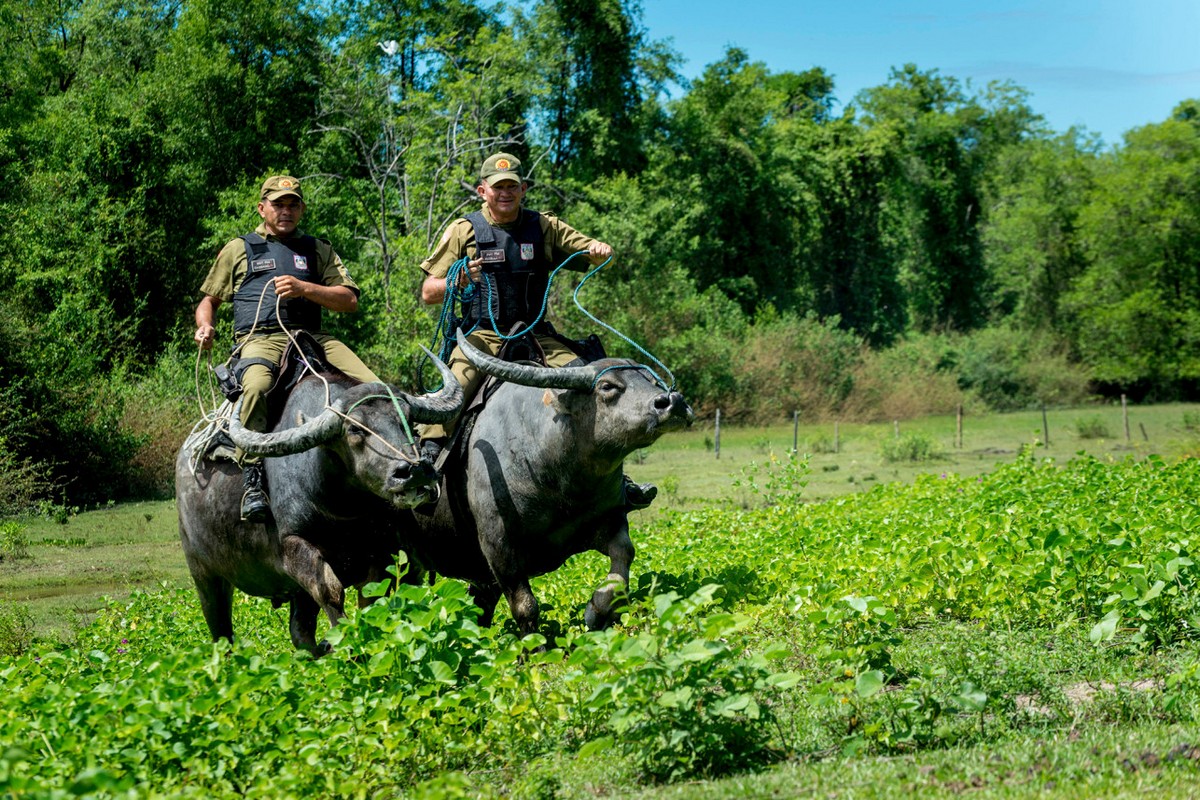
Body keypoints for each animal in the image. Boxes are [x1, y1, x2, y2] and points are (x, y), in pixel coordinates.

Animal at [175, 357, 460, 657]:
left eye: (408, 419)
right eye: (355, 429)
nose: (414, 471)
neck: (342, 512)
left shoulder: (382, 550)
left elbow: (372, 595)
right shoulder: (292, 545)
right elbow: (330, 590)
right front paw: (346, 641)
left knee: (300, 630)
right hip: (204, 574)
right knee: (221, 629)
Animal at [403, 331, 696, 638]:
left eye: (652, 381)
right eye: (607, 386)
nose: (672, 402)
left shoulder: (609, 520)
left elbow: (624, 557)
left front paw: (597, 611)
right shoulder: (499, 545)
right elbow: (525, 605)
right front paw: (537, 646)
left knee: (480, 606)